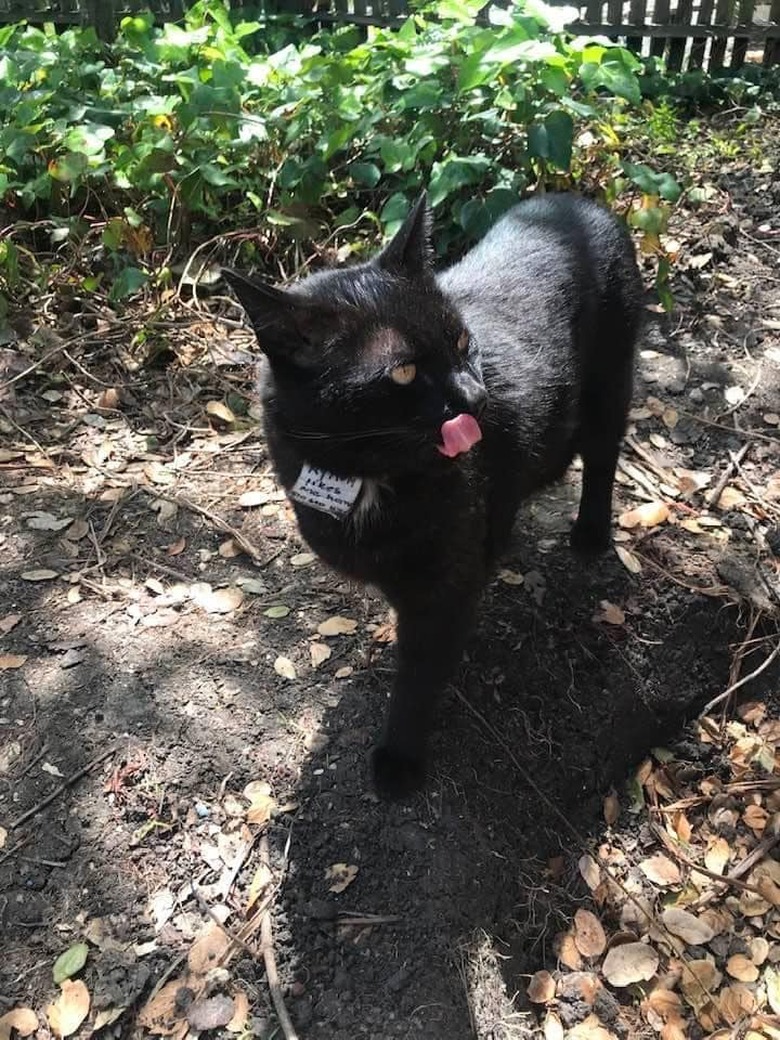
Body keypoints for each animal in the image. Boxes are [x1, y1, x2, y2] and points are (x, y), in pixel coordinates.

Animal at [224, 193, 640, 794]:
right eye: (402, 372)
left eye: (464, 343)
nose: (476, 396)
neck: (364, 477)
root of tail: (579, 200)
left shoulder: (444, 588)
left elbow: (419, 677)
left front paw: (400, 759)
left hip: (612, 383)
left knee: (603, 457)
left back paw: (590, 533)